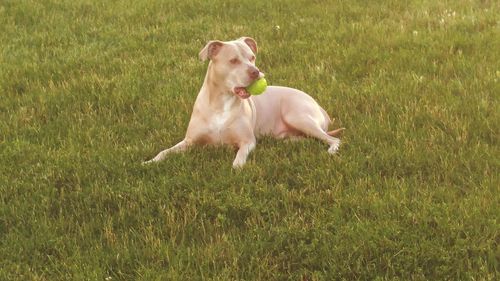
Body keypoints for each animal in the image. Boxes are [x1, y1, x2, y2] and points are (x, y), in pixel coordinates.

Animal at [143, 36, 342, 166]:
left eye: (252, 57)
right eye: (233, 61)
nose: (256, 71)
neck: (221, 103)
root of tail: (319, 106)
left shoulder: (247, 142)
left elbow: (239, 157)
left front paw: (236, 168)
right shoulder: (189, 141)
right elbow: (165, 151)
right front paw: (150, 162)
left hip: (297, 116)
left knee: (333, 139)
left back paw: (332, 150)